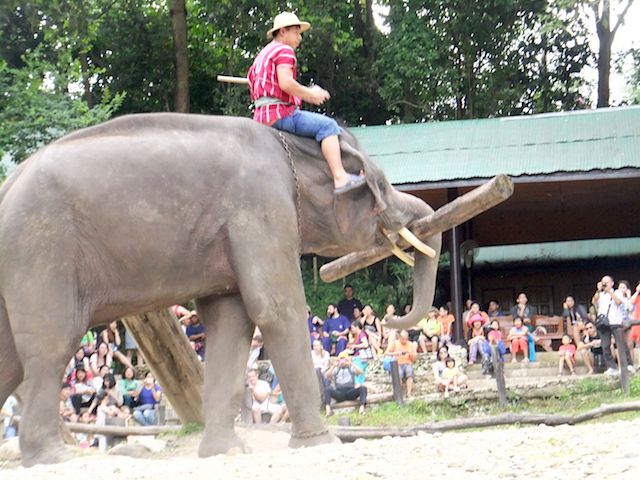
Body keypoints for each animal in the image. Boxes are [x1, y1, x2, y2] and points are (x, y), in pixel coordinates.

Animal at [0, 113, 441, 467]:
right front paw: (322, 442)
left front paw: (225, 451)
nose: (389, 317)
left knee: (11, 362)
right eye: (379, 183)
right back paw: (57, 457)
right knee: (49, 348)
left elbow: (231, 323)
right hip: (41, 253)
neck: (291, 148)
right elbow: (276, 308)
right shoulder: (261, 208)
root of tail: (8, 185)